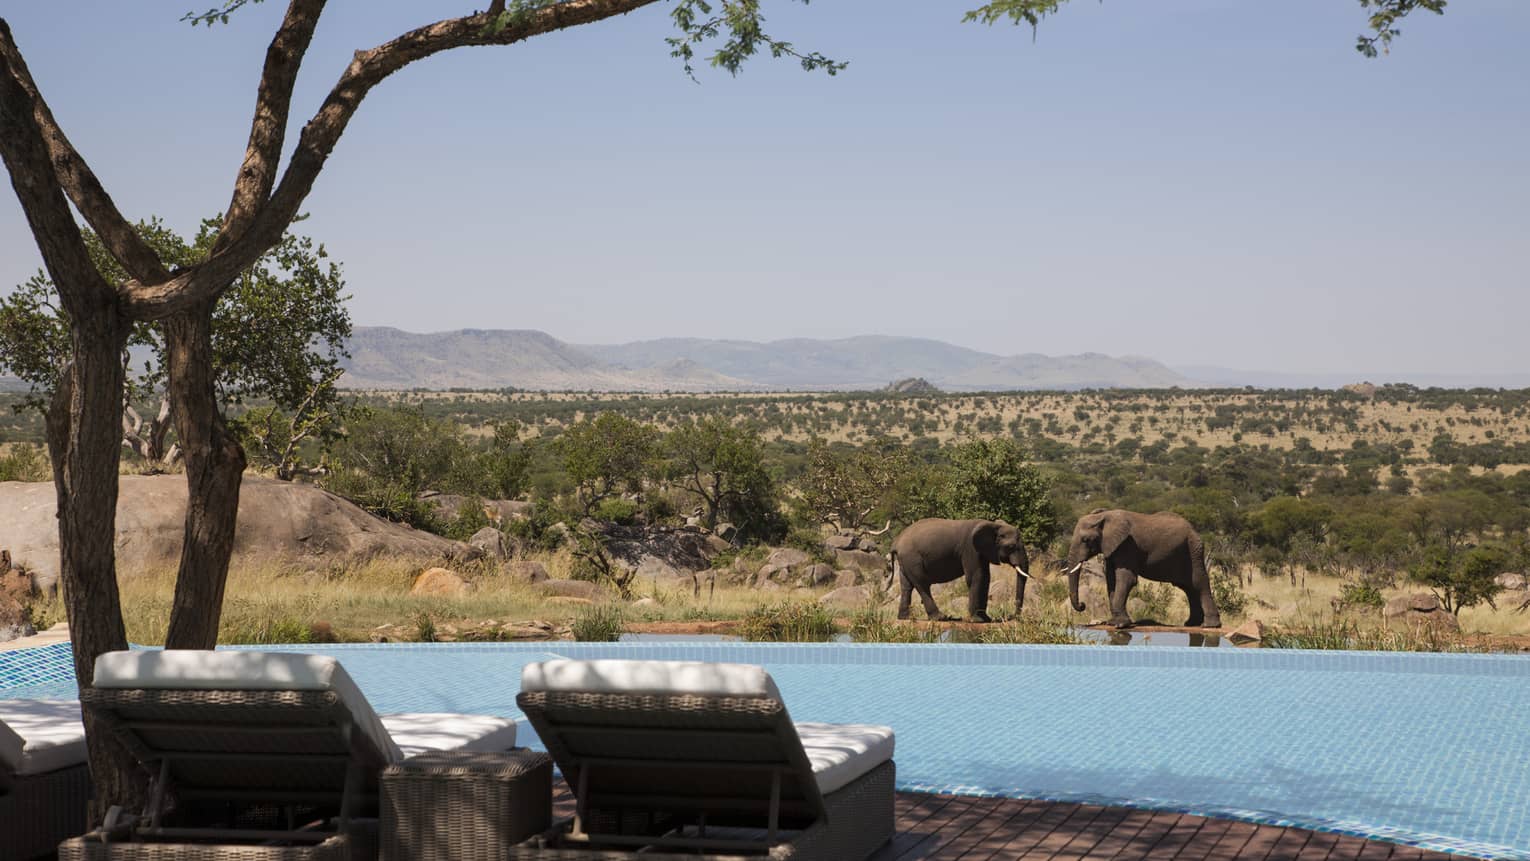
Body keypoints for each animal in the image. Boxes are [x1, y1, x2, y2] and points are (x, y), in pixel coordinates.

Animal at [887, 518, 1031, 622]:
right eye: (1011, 547)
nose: (1012, 616)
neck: (993, 525)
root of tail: (896, 542)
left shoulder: (981, 551)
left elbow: (985, 577)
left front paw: (986, 619)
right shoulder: (970, 548)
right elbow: (977, 576)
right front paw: (977, 620)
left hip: (905, 560)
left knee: (906, 586)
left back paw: (905, 618)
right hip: (912, 558)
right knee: (922, 584)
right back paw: (941, 618)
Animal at [1064, 508, 1221, 629]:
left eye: (1085, 540)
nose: (1082, 605)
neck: (1105, 516)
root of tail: (1193, 529)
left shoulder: (1128, 545)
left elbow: (1126, 579)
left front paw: (1120, 625)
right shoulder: (1111, 547)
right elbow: (1111, 580)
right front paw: (1112, 622)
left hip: (1193, 549)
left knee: (1198, 583)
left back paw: (1210, 625)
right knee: (1188, 587)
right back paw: (1191, 624)